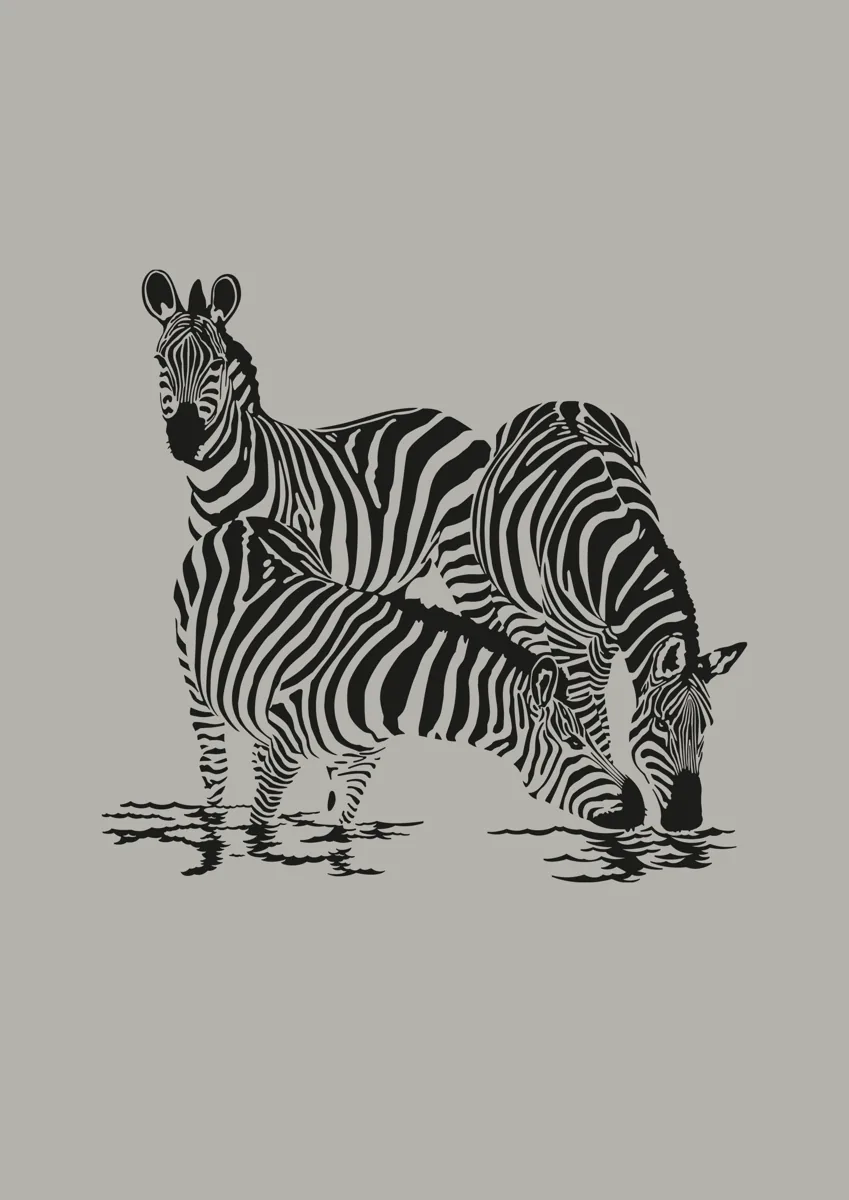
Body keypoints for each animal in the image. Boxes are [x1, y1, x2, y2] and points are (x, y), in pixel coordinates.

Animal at [142, 270, 495, 624]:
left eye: (217, 363)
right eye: (160, 361)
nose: (185, 437)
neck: (214, 481)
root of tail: (456, 424)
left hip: (462, 551)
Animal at [173, 517, 644, 831]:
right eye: (574, 743)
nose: (640, 807)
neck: (386, 688)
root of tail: (244, 521)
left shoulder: (360, 764)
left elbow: (341, 830)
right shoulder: (284, 755)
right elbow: (260, 829)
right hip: (196, 688)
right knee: (214, 768)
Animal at [472, 401, 746, 832]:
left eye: (706, 728)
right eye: (661, 724)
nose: (688, 819)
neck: (612, 554)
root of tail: (558, 400)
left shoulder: (609, 638)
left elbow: (597, 705)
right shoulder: (568, 638)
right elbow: (584, 709)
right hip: (511, 599)